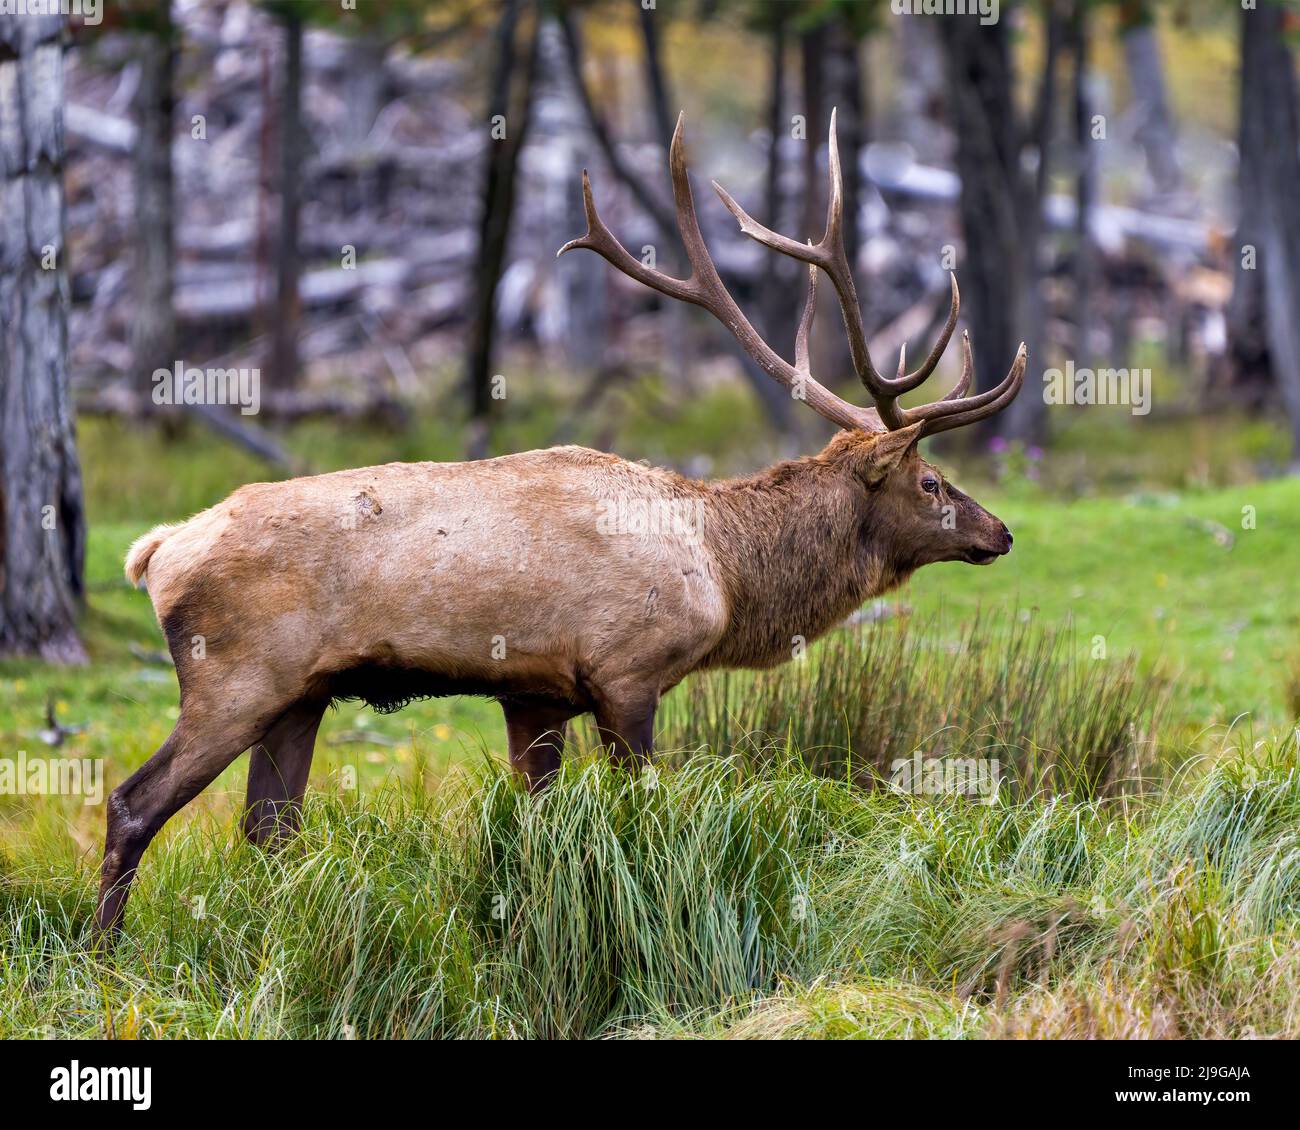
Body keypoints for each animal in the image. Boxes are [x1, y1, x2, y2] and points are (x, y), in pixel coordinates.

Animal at [96, 112, 1024, 942]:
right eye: (932, 482)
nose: (1002, 533)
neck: (725, 571)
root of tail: (155, 551)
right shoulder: (628, 671)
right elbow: (639, 816)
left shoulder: (534, 692)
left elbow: (534, 826)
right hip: (235, 677)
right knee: (134, 803)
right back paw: (105, 950)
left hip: (301, 695)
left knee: (268, 829)